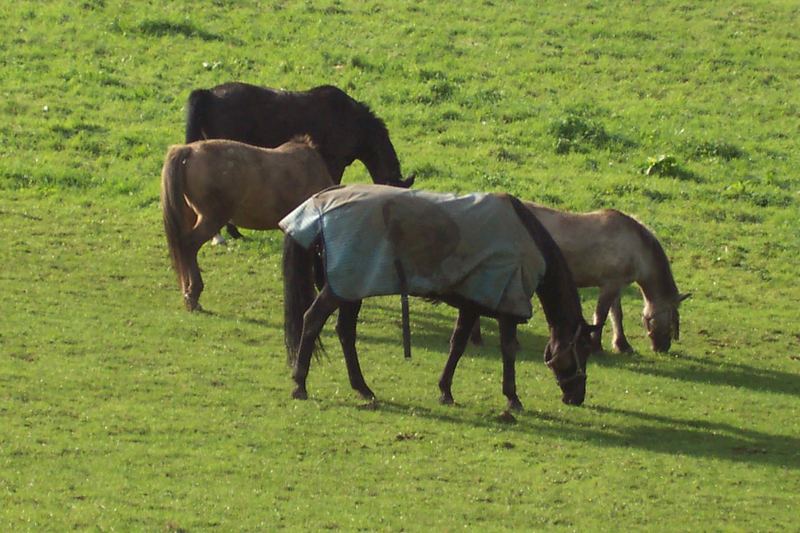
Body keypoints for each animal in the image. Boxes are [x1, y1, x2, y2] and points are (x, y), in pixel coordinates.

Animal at [278, 185, 596, 410]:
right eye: (582, 349)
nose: (577, 396)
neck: (525, 238)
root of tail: (320, 204)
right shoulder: (507, 305)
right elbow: (507, 350)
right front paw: (512, 397)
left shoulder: (471, 306)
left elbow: (457, 345)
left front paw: (445, 391)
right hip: (341, 288)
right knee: (313, 320)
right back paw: (300, 384)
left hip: (351, 288)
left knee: (345, 332)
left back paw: (363, 388)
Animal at [472, 204, 692, 354]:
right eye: (674, 320)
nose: (663, 347)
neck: (636, 247)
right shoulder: (610, 285)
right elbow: (601, 315)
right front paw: (596, 345)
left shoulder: (617, 286)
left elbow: (616, 316)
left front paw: (622, 345)